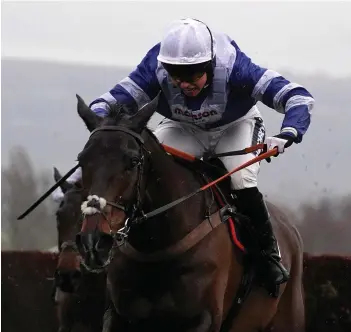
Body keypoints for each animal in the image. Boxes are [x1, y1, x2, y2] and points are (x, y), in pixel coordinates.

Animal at [73, 94, 306, 332]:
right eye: (81, 160)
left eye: (133, 161)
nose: (93, 241)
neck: (156, 246)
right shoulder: (118, 316)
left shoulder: (202, 319)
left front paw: (282, 139)